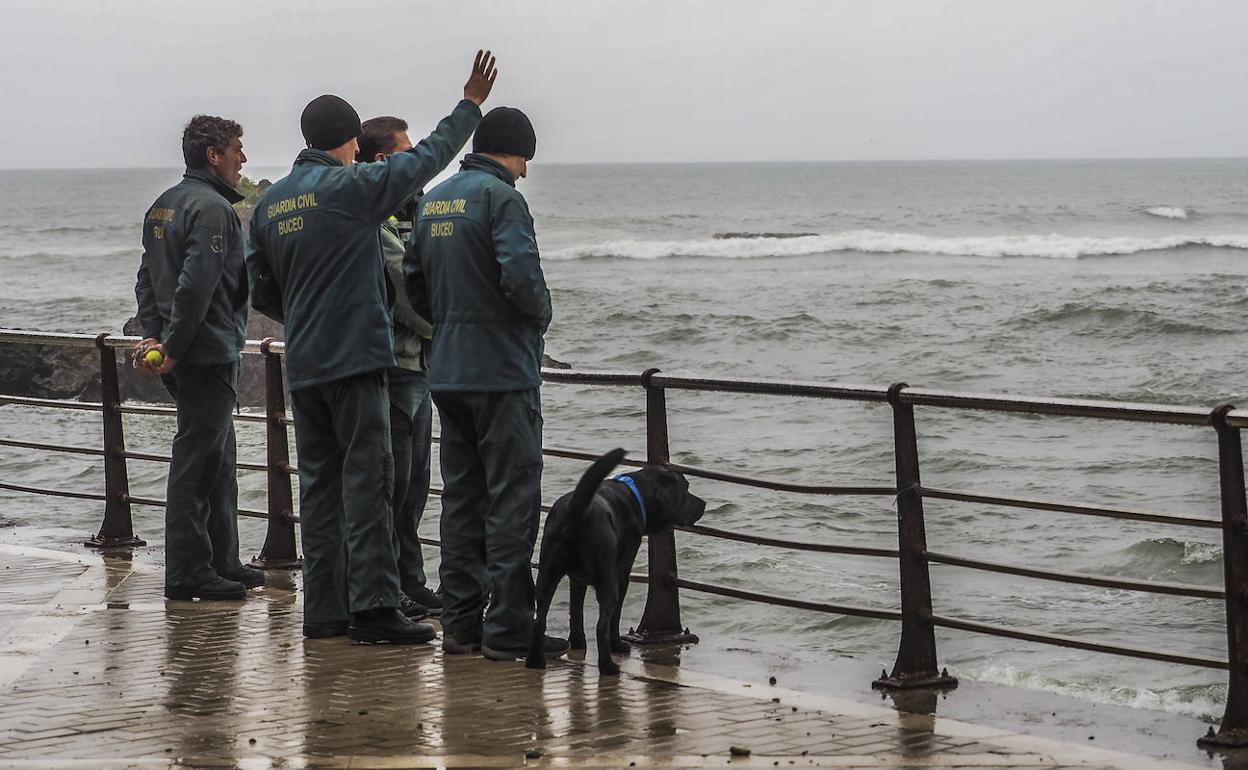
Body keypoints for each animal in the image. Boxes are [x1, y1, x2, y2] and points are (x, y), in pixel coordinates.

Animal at [524, 444, 708, 673]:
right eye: (685, 489)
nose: (704, 504)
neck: (635, 495)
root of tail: (578, 508)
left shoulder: (577, 579)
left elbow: (576, 611)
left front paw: (578, 642)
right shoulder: (622, 572)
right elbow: (614, 616)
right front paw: (617, 645)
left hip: (547, 573)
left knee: (539, 620)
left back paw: (535, 661)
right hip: (607, 580)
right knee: (602, 624)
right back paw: (608, 665)